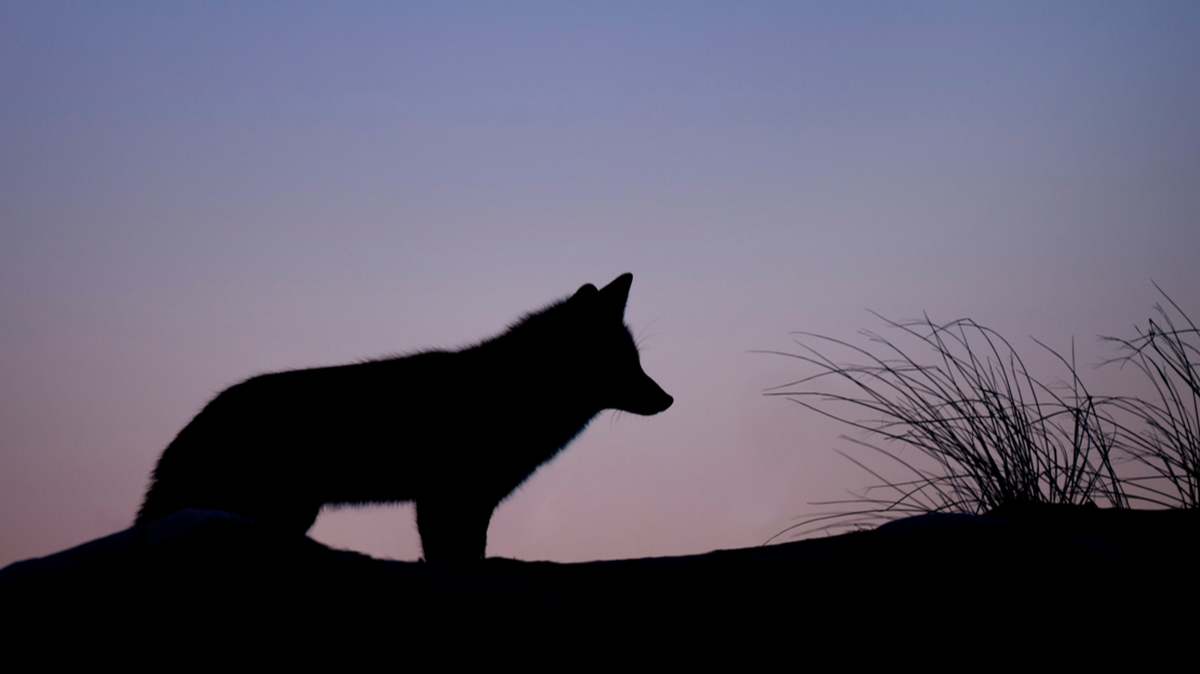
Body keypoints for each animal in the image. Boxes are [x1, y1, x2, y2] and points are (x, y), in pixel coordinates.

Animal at [135, 273, 672, 563]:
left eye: (636, 361)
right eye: (622, 364)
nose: (668, 399)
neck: (513, 393)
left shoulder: (471, 502)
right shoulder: (445, 499)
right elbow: (452, 558)